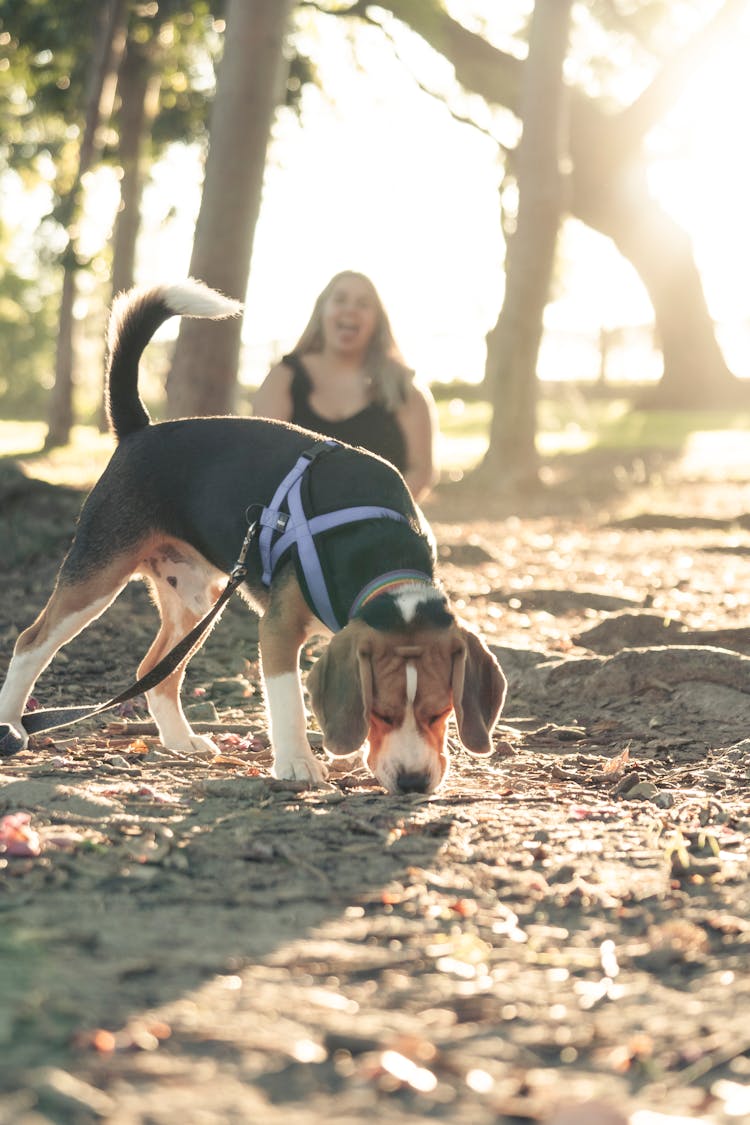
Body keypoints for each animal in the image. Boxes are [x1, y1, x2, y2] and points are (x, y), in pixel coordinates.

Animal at [0, 280, 508, 792]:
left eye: (442, 711)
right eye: (379, 712)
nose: (412, 782)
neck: (378, 548)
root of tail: (140, 429)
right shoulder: (279, 630)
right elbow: (289, 702)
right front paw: (298, 764)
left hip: (195, 604)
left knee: (154, 671)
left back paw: (179, 739)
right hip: (98, 575)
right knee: (30, 643)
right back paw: (10, 726)